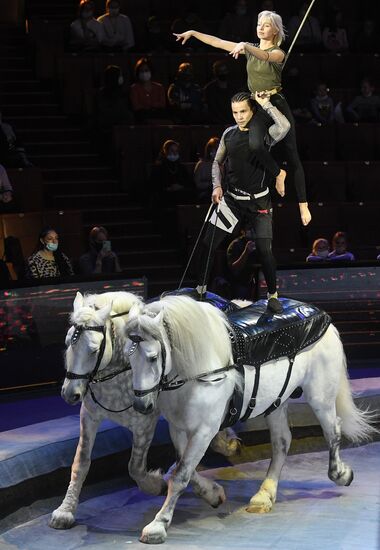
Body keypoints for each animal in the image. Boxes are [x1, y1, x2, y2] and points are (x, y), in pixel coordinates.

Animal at [48, 292, 165, 532]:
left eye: (93, 350)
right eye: (67, 343)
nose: (69, 394)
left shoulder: (145, 425)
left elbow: (135, 467)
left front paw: (156, 484)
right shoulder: (89, 416)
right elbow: (81, 462)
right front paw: (65, 511)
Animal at [125, 296, 378, 544]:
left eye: (153, 357)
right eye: (129, 358)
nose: (141, 405)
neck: (196, 369)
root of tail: (325, 319)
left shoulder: (204, 430)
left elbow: (181, 475)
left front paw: (158, 525)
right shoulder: (178, 428)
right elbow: (182, 468)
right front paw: (213, 494)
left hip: (320, 396)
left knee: (333, 430)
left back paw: (341, 474)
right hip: (277, 401)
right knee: (282, 441)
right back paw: (264, 495)